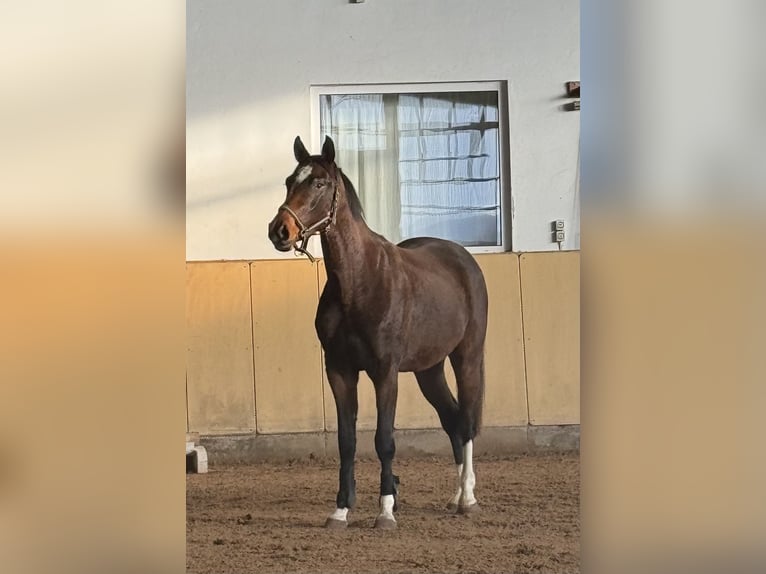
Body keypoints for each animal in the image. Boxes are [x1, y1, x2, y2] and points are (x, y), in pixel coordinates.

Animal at [268, 136, 488, 532]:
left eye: (319, 183)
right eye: (289, 181)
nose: (280, 231)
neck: (359, 281)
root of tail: (463, 258)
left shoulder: (385, 372)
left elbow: (384, 439)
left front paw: (385, 510)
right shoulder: (340, 371)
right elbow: (347, 441)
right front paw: (340, 510)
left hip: (467, 357)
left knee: (465, 421)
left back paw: (467, 498)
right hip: (428, 369)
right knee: (451, 419)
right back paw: (454, 497)